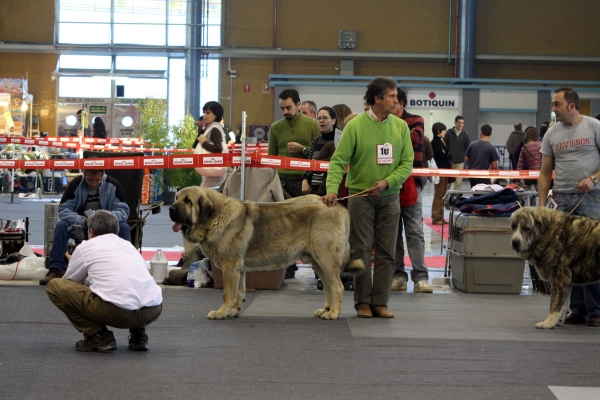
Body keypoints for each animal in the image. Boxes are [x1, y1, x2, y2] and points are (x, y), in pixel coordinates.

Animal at [169, 186, 366, 320]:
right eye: (176, 198)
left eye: (188, 201)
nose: (170, 209)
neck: (215, 217)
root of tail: (338, 206)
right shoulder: (238, 270)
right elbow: (239, 292)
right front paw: (234, 311)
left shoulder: (230, 268)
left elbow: (228, 293)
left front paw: (221, 312)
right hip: (318, 262)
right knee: (328, 287)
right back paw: (326, 310)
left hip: (325, 259)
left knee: (338, 287)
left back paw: (333, 313)